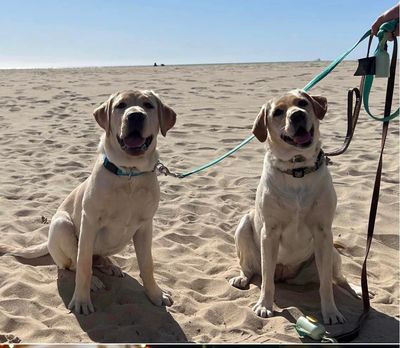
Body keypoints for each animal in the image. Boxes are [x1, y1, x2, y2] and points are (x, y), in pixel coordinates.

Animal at [0, 89, 175, 316]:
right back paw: (94, 280)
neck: (129, 174)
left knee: (95, 258)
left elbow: (147, 265)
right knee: (74, 264)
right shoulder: (89, 222)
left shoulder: (146, 226)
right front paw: (82, 300)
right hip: (61, 223)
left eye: (148, 105)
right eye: (120, 105)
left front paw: (155, 294)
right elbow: (83, 266)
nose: (135, 116)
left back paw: (109, 265)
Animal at [230, 89, 360, 324]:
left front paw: (331, 312)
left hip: (331, 254)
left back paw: (356, 288)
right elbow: (266, 281)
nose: (297, 115)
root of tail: (285, 273)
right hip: (243, 226)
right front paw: (264, 305)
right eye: (278, 112)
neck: (297, 169)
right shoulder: (269, 233)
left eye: (302, 103)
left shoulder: (323, 233)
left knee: (339, 278)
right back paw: (242, 278)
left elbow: (326, 285)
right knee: (251, 268)